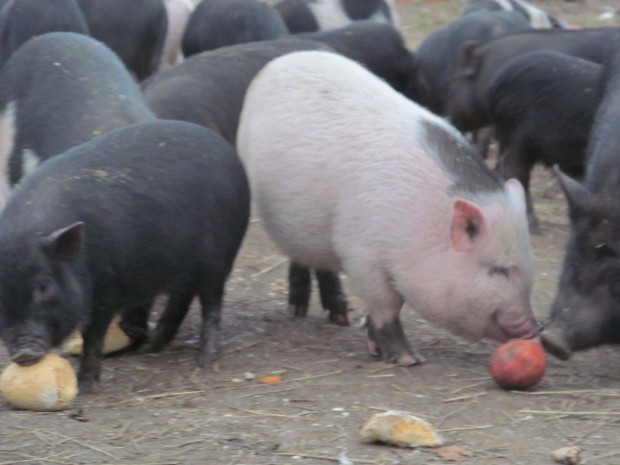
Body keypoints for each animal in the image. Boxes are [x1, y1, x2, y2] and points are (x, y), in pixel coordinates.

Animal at [236, 49, 536, 362]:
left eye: (530, 263)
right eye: (499, 269)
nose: (534, 329)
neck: (425, 222)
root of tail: (279, 61)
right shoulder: (362, 253)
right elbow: (387, 305)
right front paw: (408, 360)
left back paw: (340, 317)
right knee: (301, 257)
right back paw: (299, 311)